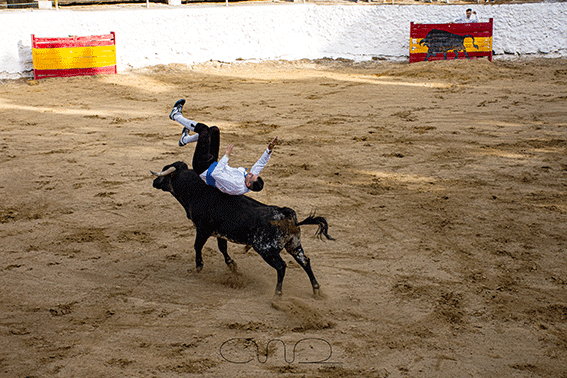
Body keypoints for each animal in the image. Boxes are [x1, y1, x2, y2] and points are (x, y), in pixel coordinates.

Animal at [153, 161, 336, 296]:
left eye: (164, 173)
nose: (154, 181)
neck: (196, 192)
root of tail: (284, 213)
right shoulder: (220, 233)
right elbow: (222, 248)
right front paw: (232, 266)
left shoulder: (203, 229)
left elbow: (197, 246)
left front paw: (198, 267)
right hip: (294, 245)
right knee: (305, 261)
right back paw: (316, 290)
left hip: (266, 249)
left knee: (282, 266)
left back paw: (277, 294)